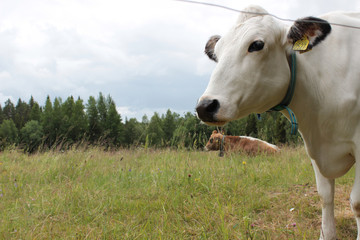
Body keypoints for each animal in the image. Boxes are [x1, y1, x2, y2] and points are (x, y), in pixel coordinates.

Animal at [195, 4, 360, 240]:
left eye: (257, 44)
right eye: (217, 53)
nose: (205, 106)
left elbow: (356, 202)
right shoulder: (314, 146)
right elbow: (325, 196)